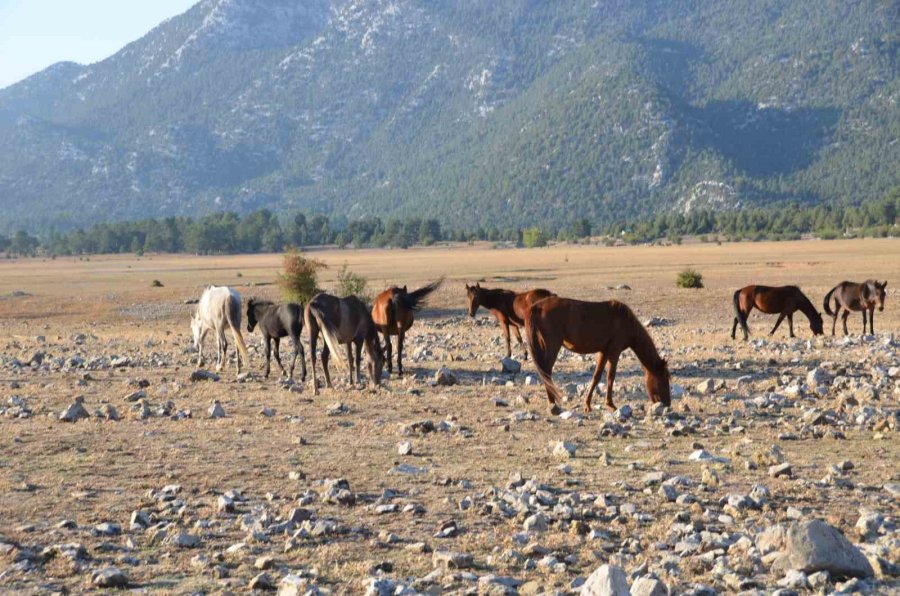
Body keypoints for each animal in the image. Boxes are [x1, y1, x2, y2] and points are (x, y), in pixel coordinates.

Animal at [528, 296, 668, 414]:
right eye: (663, 376)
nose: (667, 404)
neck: (626, 322)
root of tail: (537, 306)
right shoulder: (614, 351)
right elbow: (611, 376)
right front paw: (610, 404)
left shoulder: (604, 352)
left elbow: (597, 376)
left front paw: (587, 405)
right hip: (553, 345)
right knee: (546, 372)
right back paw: (553, 405)